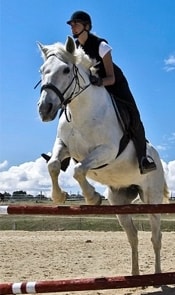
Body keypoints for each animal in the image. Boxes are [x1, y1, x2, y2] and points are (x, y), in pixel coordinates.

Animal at [37, 37, 170, 278]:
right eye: (42, 71)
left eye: (66, 70)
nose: (45, 109)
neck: (81, 112)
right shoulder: (64, 147)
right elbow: (53, 165)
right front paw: (58, 197)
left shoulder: (106, 151)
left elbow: (78, 170)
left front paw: (92, 198)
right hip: (119, 201)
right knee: (133, 236)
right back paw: (135, 276)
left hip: (152, 198)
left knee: (156, 237)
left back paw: (156, 277)